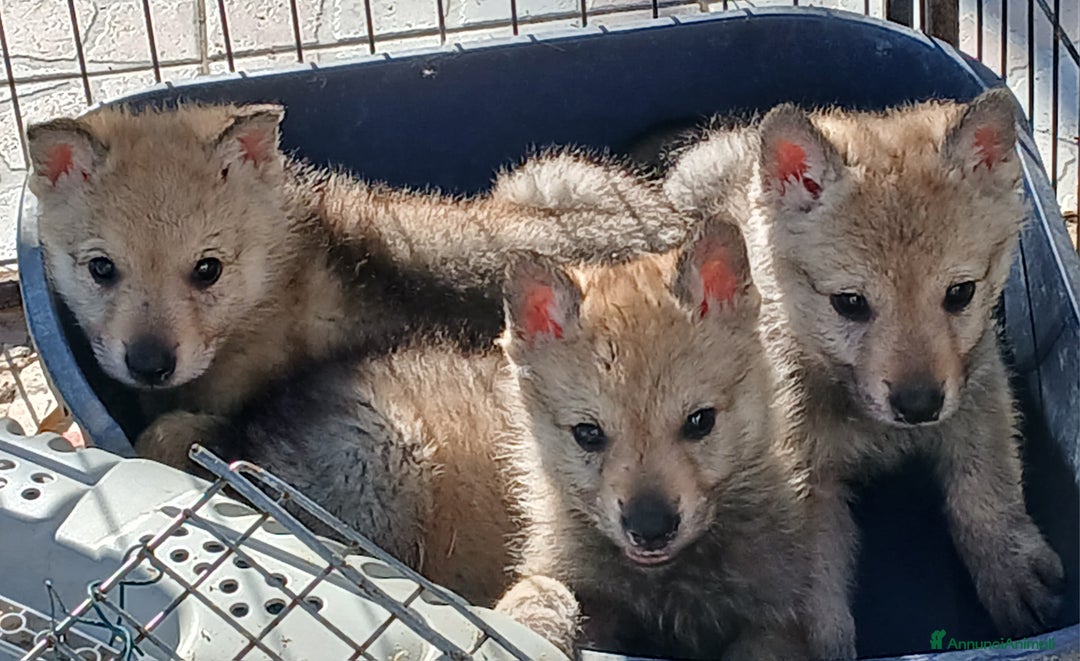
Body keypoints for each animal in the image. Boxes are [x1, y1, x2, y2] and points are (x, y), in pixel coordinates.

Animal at [26, 103, 688, 468]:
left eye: (207, 269)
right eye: (101, 268)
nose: (149, 364)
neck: (278, 283)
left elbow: (168, 433)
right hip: (539, 175)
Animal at [662, 88, 1065, 658]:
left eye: (960, 293)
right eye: (849, 303)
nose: (918, 406)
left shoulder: (978, 386)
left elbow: (984, 485)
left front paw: (1010, 566)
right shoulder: (806, 481)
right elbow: (816, 579)